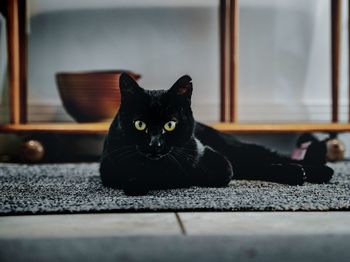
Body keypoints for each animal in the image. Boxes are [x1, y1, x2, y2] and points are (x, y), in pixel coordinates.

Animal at [99, 73, 334, 194]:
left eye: (170, 125)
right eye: (139, 124)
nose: (154, 145)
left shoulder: (220, 163)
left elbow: (208, 173)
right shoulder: (110, 167)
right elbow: (133, 176)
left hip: (235, 149)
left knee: (265, 158)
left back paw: (319, 171)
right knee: (258, 166)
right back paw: (298, 173)